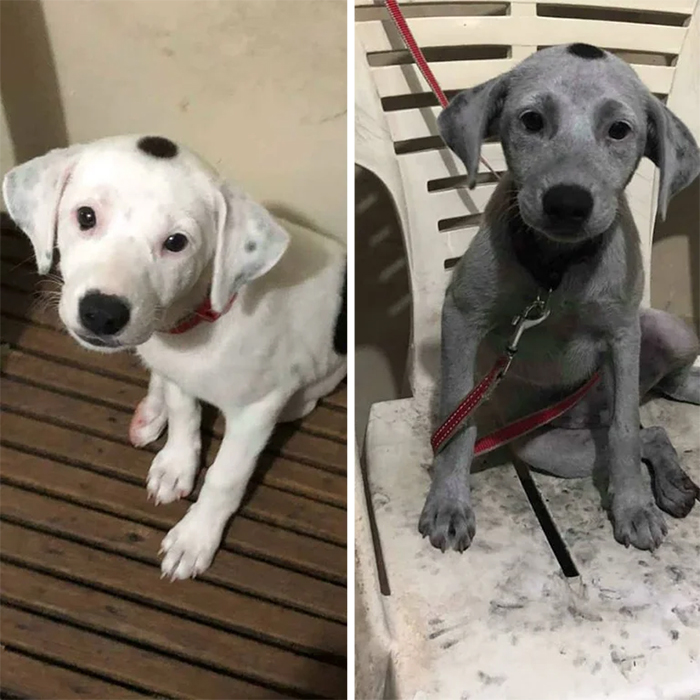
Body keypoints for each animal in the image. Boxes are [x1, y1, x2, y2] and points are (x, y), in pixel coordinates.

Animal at [2, 135, 348, 580]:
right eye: (86, 216)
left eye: (176, 243)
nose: (102, 313)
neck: (197, 322)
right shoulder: (178, 374)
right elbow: (184, 413)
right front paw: (177, 463)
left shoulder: (257, 409)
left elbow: (225, 476)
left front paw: (195, 537)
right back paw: (152, 411)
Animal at [422, 45, 700, 556]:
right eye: (531, 121)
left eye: (619, 130)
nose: (567, 203)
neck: (557, 270)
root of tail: (587, 413)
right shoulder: (461, 317)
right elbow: (456, 421)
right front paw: (448, 503)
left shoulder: (623, 334)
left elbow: (626, 432)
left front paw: (633, 508)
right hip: (546, 447)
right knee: (650, 432)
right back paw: (671, 483)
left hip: (672, 333)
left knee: (643, 421)